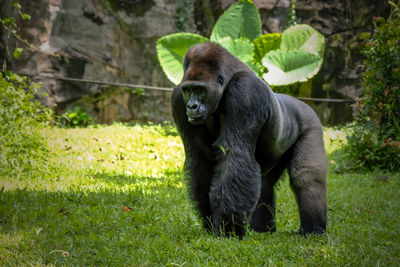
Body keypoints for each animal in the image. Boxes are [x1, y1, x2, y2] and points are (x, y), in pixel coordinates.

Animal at [170, 42, 326, 239]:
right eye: (188, 90)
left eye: (199, 89)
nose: (191, 106)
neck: (227, 81)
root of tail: (304, 104)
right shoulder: (178, 99)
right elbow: (201, 160)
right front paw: (210, 221)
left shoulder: (245, 92)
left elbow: (235, 156)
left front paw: (228, 227)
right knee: (265, 184)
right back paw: (262, 229)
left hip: (311, 122)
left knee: (306, 177)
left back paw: (314, 229)